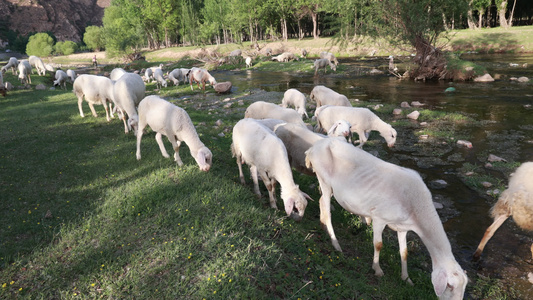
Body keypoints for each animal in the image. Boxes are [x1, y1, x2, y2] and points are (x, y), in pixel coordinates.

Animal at [304, 138, 466, 298]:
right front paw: (377, 269)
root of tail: (314, 148)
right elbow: (378, 244)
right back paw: (335, 243)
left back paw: (323, 226)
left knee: (321, 201)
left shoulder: (402, 227)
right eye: (450, 286)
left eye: (464, 288)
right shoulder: (379, 218)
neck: (417, 206)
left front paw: (406, 278)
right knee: (326, 209)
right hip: (324, 179)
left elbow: (404, 252)